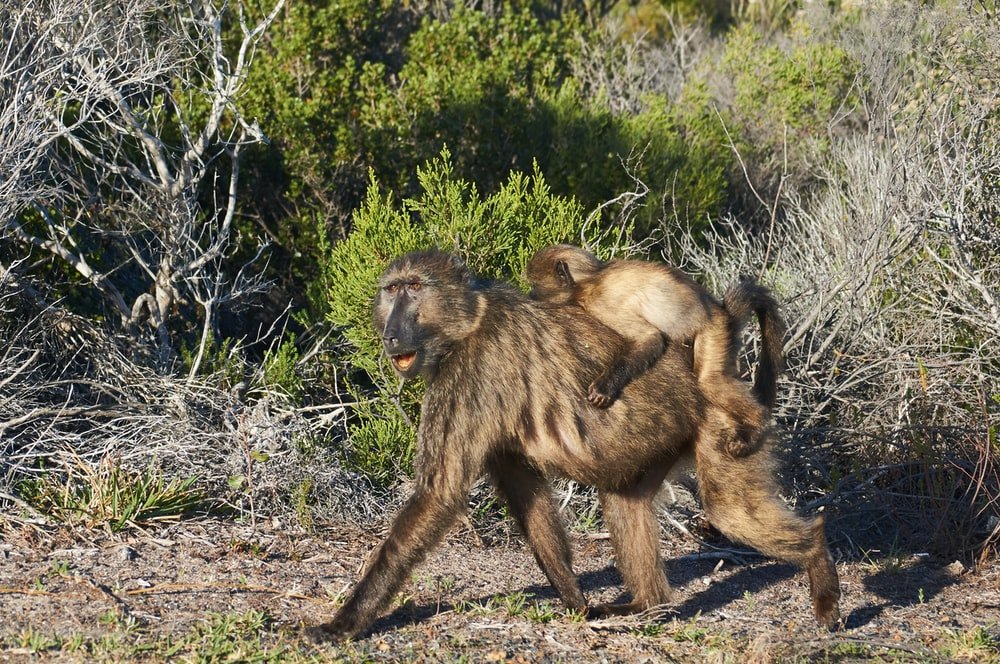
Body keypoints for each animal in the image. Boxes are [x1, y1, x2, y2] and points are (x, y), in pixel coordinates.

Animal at [526, 244, 786, 458]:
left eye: (535, 286)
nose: (529, 294)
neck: (590, 280)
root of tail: (721, 311)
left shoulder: (602, 303)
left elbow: (650, 339)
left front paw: (604, 388)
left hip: (714, 329)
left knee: (709, 381)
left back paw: (757, 425)